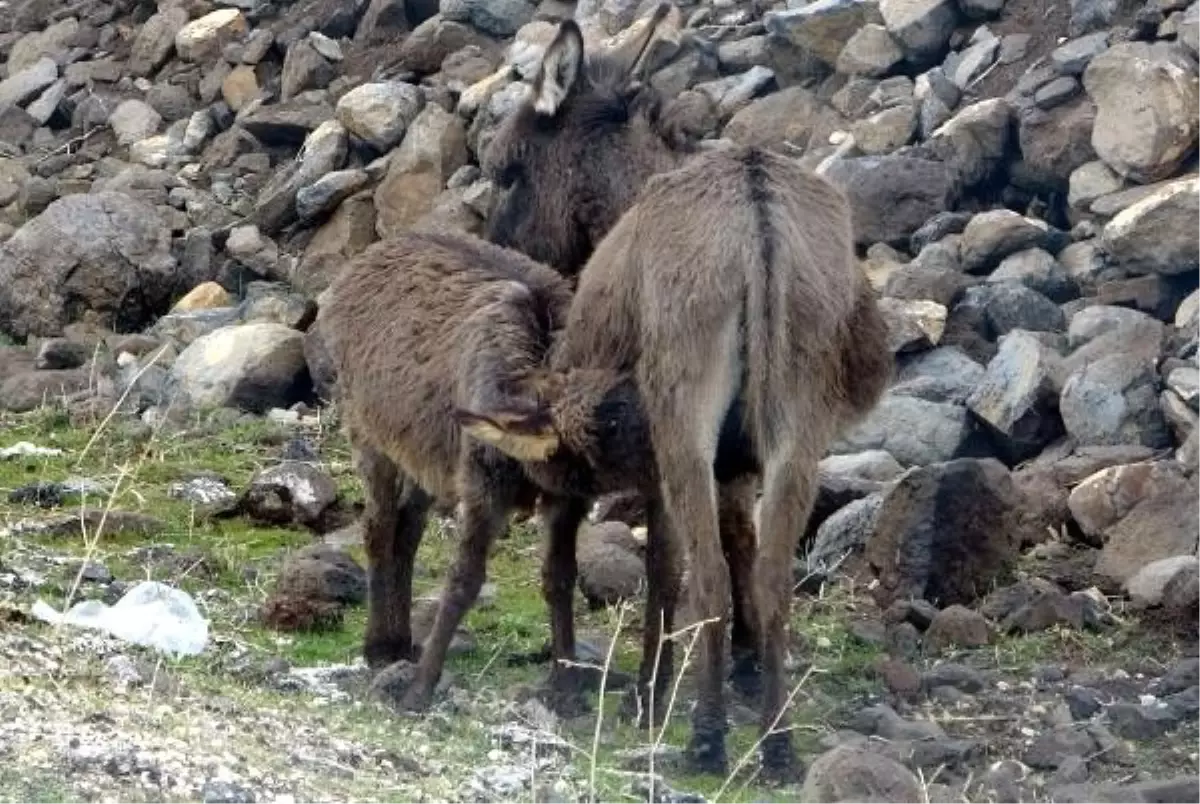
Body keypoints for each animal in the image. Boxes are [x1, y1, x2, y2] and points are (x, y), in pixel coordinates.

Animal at [468, 20, 892, 782]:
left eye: (508, 168)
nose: (507, 259)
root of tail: (757, 217)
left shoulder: (658, 457)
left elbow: (660, 569)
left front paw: (647, 693)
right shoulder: (739, 462)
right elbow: (742, 541)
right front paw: (745, 669)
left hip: (683, 423)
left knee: (707, 578)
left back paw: (707, 737)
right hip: (796, 430)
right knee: (772, 578)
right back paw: (777, 744)